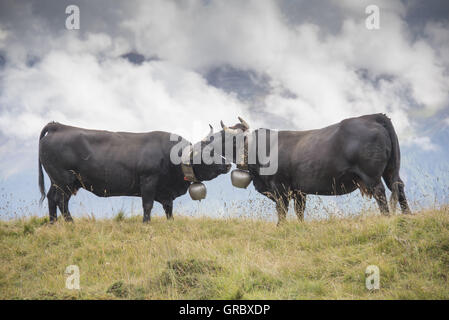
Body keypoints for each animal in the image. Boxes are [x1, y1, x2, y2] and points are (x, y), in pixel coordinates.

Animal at [38, 121, 231, 224]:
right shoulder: (148, 180)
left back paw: (53, 223)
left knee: (51, 198)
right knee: (61, 201)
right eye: (208, 153)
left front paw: (171, 222)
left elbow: (169, 207)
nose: (228, 164)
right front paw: (146, 223)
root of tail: (58, 126)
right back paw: (70, 223)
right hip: (64, 180)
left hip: (58, 181)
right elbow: (148, 205)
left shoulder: (165, 192)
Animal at [216, 114, 410, 224]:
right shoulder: (299, 191)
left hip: (371, 175)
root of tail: (372, 116)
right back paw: (408, 215)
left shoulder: (280, 188)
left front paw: (280, 228)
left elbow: (282, 211)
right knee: (399, 187)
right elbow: (299, 211)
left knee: (380, 193)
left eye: (224, 137)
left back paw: (386, 218)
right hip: (391, 170)